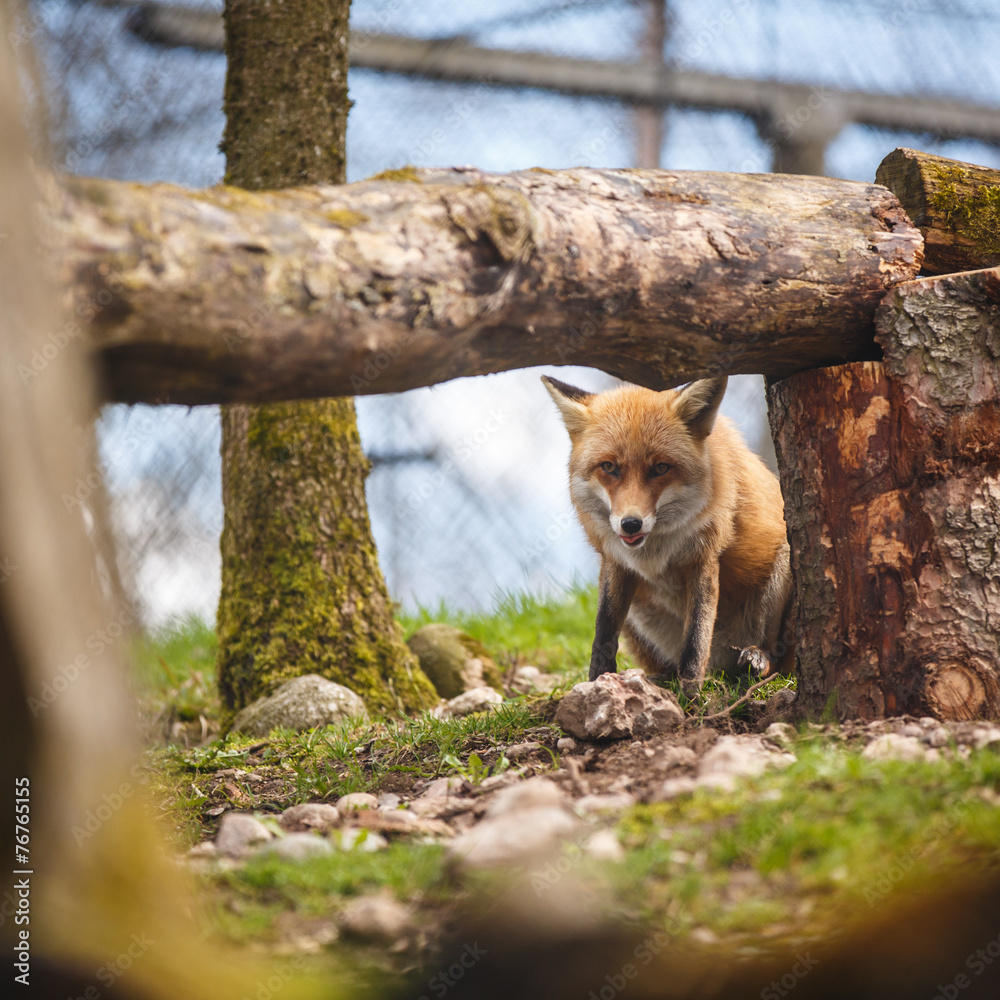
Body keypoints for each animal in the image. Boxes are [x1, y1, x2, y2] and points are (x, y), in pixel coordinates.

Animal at [542, 374, 794, 693]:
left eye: (660, 468)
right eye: (609, 467)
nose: (631, 524)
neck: (655, 551)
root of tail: (721, 665)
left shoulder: (704, 558)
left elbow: (696, 639)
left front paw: (691, 696)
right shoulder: (616, 561)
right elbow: (603, 631)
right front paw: (596, 682)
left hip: (784, 562)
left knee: (773, 657)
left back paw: (756, 659)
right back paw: (659, 679)